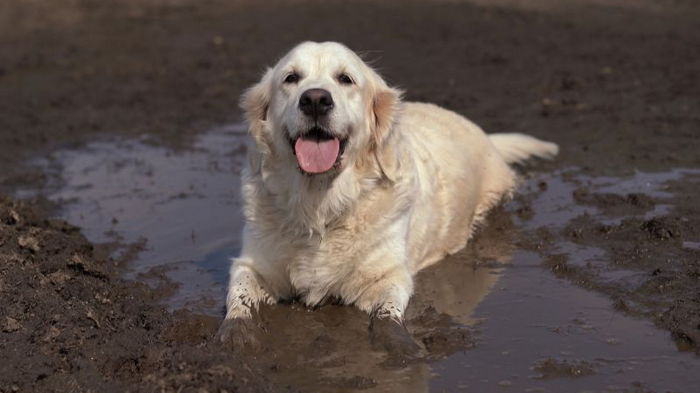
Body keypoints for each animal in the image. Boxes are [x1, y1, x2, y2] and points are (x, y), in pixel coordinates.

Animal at [219, 41, 556, 354]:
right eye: (291, 78)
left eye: (345, 79)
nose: (315, 99)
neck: (320, 205)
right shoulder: (252, 264)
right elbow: (239, 297)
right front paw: (235, 335)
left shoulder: (389, 274)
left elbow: (387, 313)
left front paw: (398, 344)